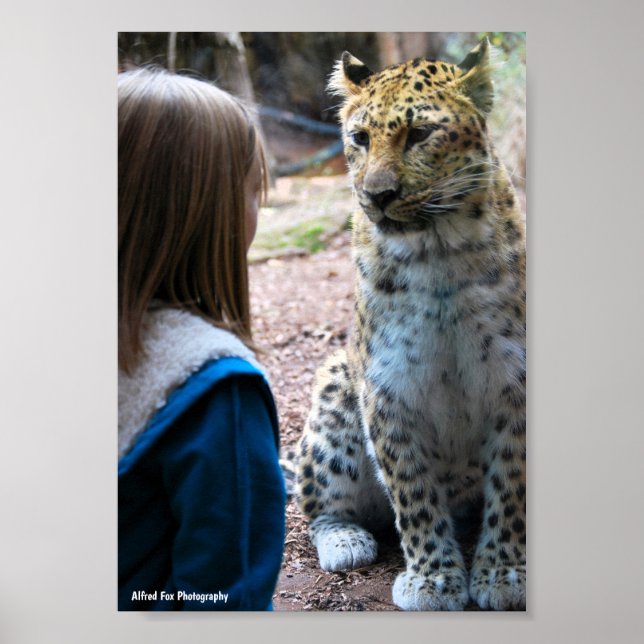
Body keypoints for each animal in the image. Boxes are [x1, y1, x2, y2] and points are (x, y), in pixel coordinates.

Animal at [294, 38, 526, 611]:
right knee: (318, 506)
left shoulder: (515, 377)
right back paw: (346, 541)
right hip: (335, 388)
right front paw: (433, 579)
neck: (436, 249)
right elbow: (412, 487)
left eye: (419, 134)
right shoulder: (388, 384)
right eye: (359, 138)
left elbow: (511, 480)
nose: (377, 195)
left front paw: (502, 572)